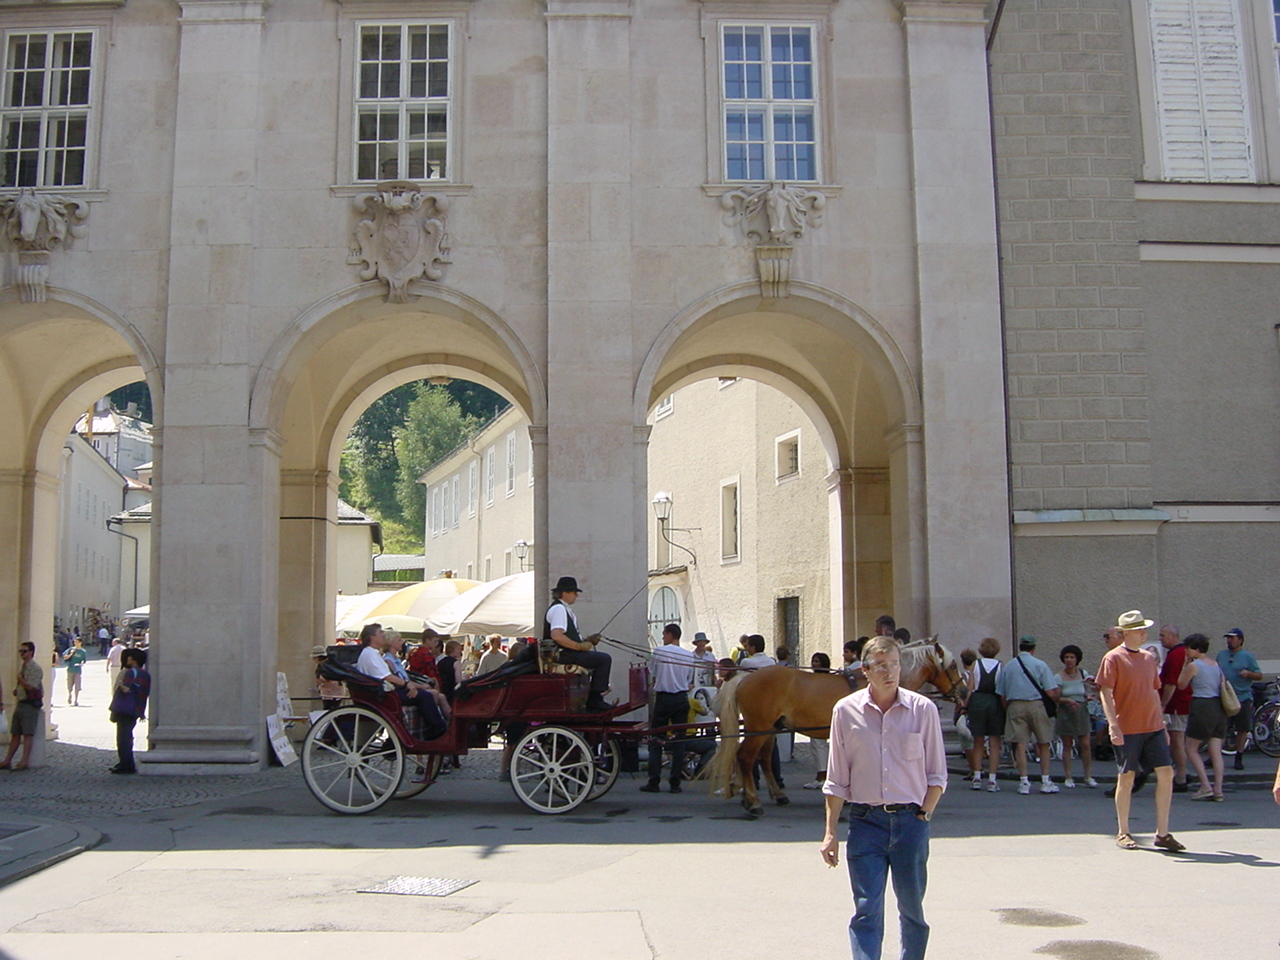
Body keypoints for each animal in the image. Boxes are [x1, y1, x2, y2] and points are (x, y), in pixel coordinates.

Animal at [711, 640, 962, 819]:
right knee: (746, 757)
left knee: (762, 758)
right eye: (952, 666)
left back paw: (772, 794)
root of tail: (746, 677)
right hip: (759, 727)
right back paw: (753, 802)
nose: (963, 691)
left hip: (769, 728)